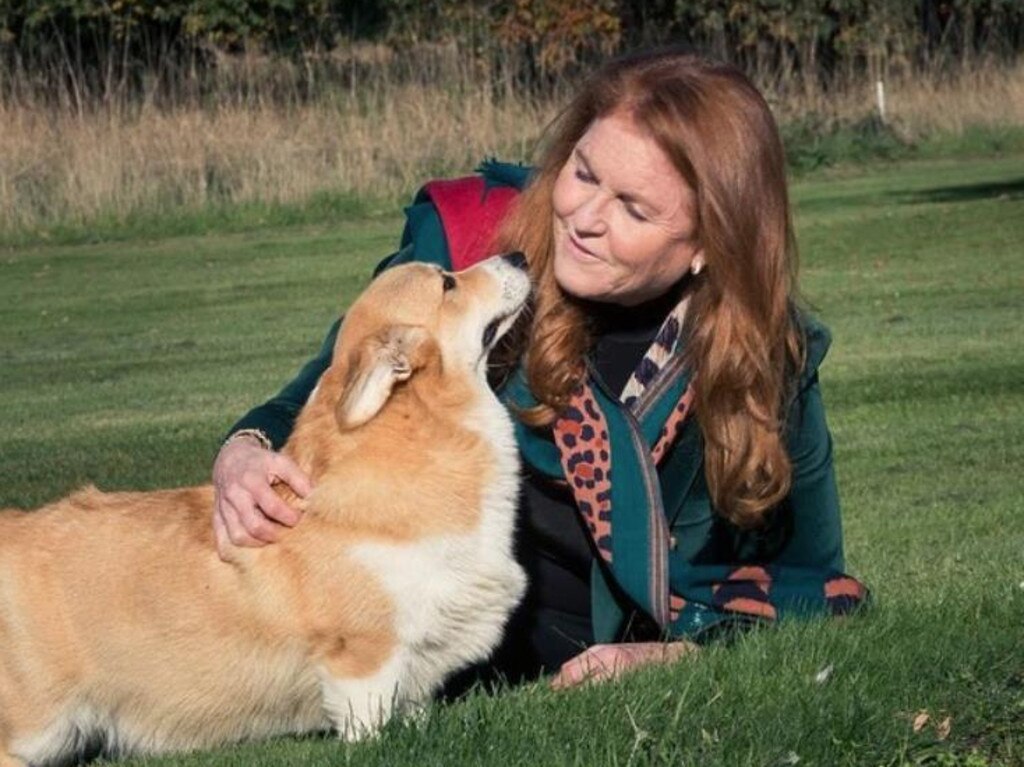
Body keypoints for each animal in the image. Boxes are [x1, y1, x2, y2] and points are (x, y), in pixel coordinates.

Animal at [0, 253, 528, 761]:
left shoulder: (418, 666)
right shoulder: (363, 656)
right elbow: (371, 727)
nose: (520, 256)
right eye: (447, 283)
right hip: (38, 724)